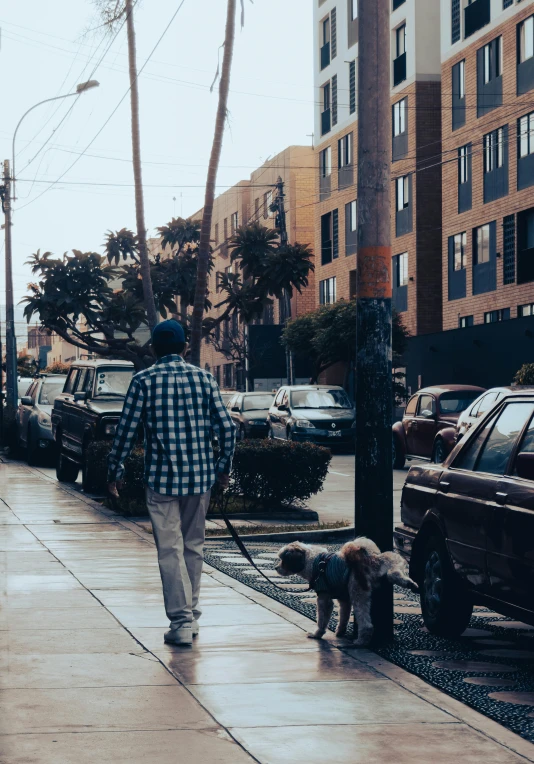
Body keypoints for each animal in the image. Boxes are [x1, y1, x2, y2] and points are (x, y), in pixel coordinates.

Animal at [276, 536, 418, 644]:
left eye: (283, 560)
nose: (276, 567)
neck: (313, 561)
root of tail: (368, 561)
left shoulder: (324, 597)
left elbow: (322, 619)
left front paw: (317, 634)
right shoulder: (344, 599)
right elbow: (343, 616)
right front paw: (340, 632)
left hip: (358, 592)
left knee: (366, 623)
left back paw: (361, 641)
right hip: (391, 560)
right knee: (394, 573)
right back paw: (410, 584)